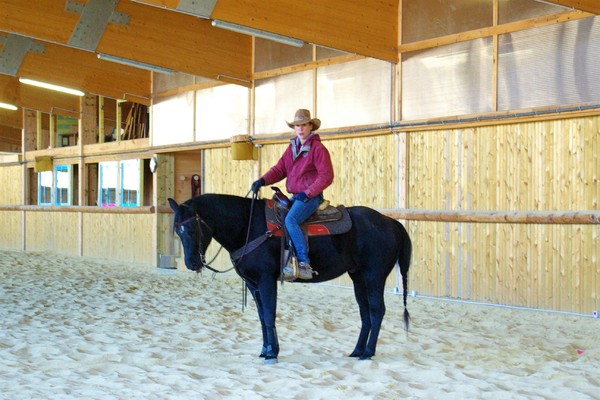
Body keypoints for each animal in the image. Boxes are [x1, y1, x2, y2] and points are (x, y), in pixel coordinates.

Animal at [169, 192, 412, 364]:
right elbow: (262, 317)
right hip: (358, 277)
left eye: (192, 229)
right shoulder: (253, 284)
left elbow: (269, 315)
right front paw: (266, 350)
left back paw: (368, 352)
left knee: (377, 310)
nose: (192, 263)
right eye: (178, 231)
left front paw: (272, 354)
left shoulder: (266, 281)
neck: (248, 226)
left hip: (374, 276)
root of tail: (391, 222)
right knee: (365, 312)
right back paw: (357, 350)